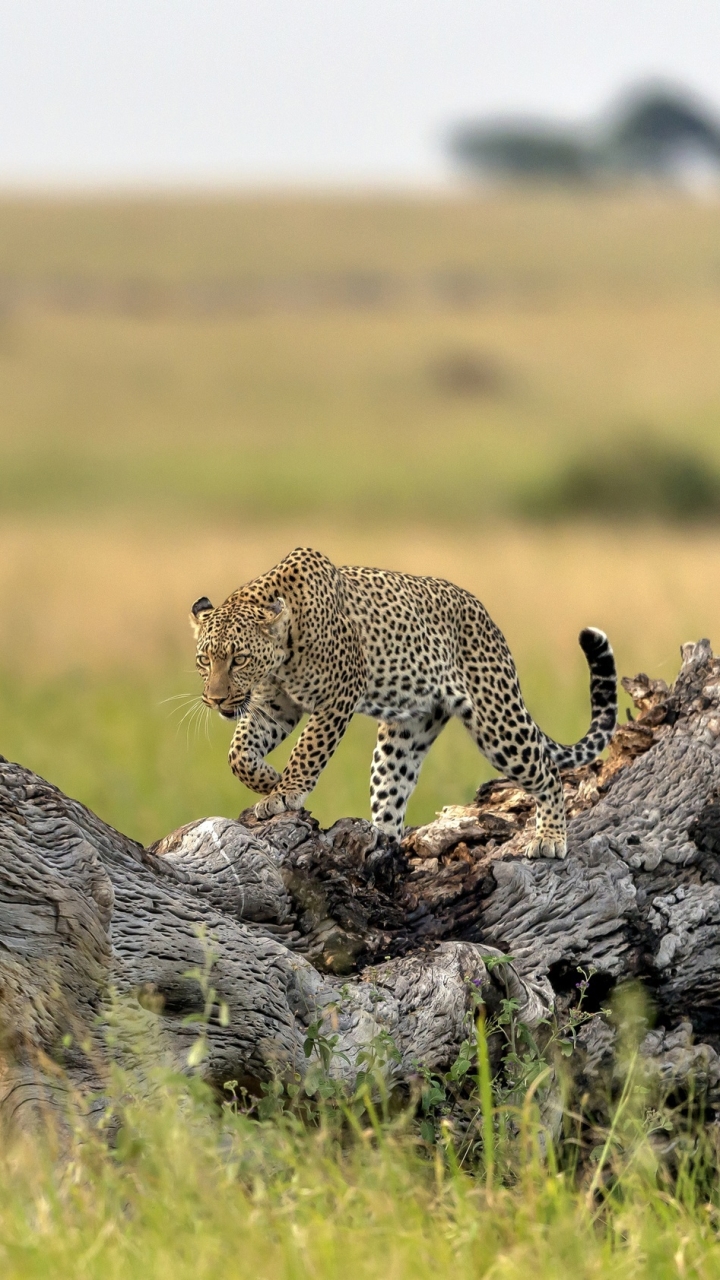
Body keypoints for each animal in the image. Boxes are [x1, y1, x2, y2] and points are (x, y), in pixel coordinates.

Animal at [188, 547, 614, 860]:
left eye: (239, 659)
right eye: (204, 659)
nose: (214, 698)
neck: (281, 656)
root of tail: (487, 617)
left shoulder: (338, 695)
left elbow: (308, 750)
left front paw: (284, 791)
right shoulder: (274, 707)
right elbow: (238, 754)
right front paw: (268, 781)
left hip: (497, 720)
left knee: (547, 770)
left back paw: (550, 838)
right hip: (405, 737)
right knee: (392, 794)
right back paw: (384, 846)